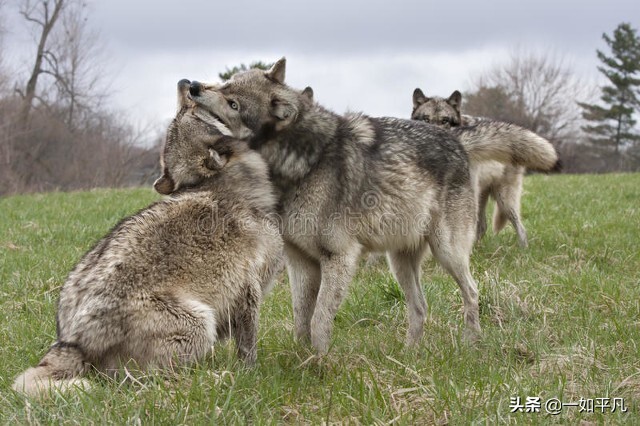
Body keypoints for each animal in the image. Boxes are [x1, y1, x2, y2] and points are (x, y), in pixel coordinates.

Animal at [11, 81, 282, 398]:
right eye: (190, 111)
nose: (187, 84)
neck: (225, 183)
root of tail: (72, 341)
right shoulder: (248, 291)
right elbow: (248, 345)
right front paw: (250, 374)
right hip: (200, 323)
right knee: (147, 381)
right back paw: (215, 378)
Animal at [412, 88, 556, 245]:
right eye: (426, 119)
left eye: (445, 121)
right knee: (482, 226)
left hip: (504, 201)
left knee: (519, 227)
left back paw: (523, 248)